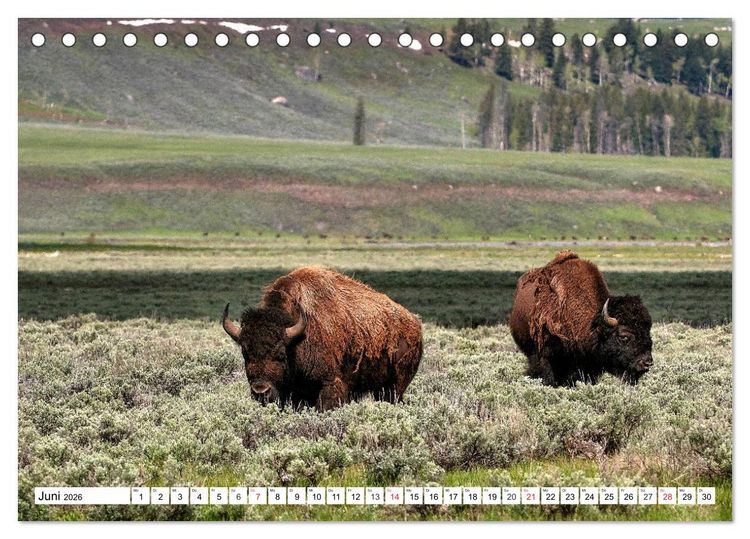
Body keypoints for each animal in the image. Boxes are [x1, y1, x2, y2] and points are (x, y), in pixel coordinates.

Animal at [222, 266, 423, 410]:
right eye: (245, 354)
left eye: (280, 355)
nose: (260, 391)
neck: (297, 339)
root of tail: (415, 323)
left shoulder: (329, 385)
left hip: (395, 386)